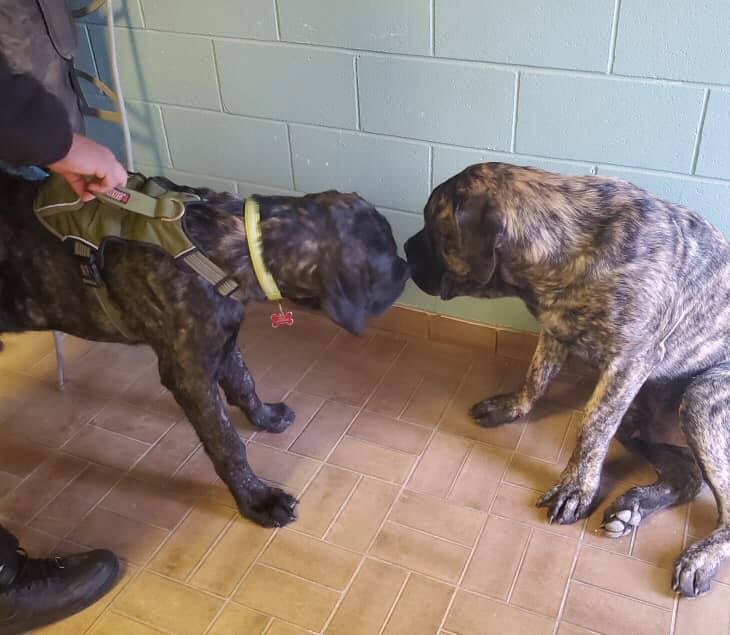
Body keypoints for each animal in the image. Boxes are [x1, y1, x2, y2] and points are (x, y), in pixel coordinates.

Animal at [0, 170, 409, 528]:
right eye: (385, 259)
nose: (406, 268)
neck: (234, 245)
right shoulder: (190, 373)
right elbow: (227, 443)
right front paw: (258, 500)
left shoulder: (221, 343)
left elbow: (244, 383)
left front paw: (264, 417)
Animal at [405, 162, 730, 598]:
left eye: (433, 226)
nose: (404, 249)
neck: (569, 243)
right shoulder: (556, 328)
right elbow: (536, 376)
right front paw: (511, 407)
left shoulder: (629, 362)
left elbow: (591, 429)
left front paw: (576, 490)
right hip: (639, 414)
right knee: (688, 475)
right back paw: (633, 507)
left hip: (700, 398)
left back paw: (700, 556)